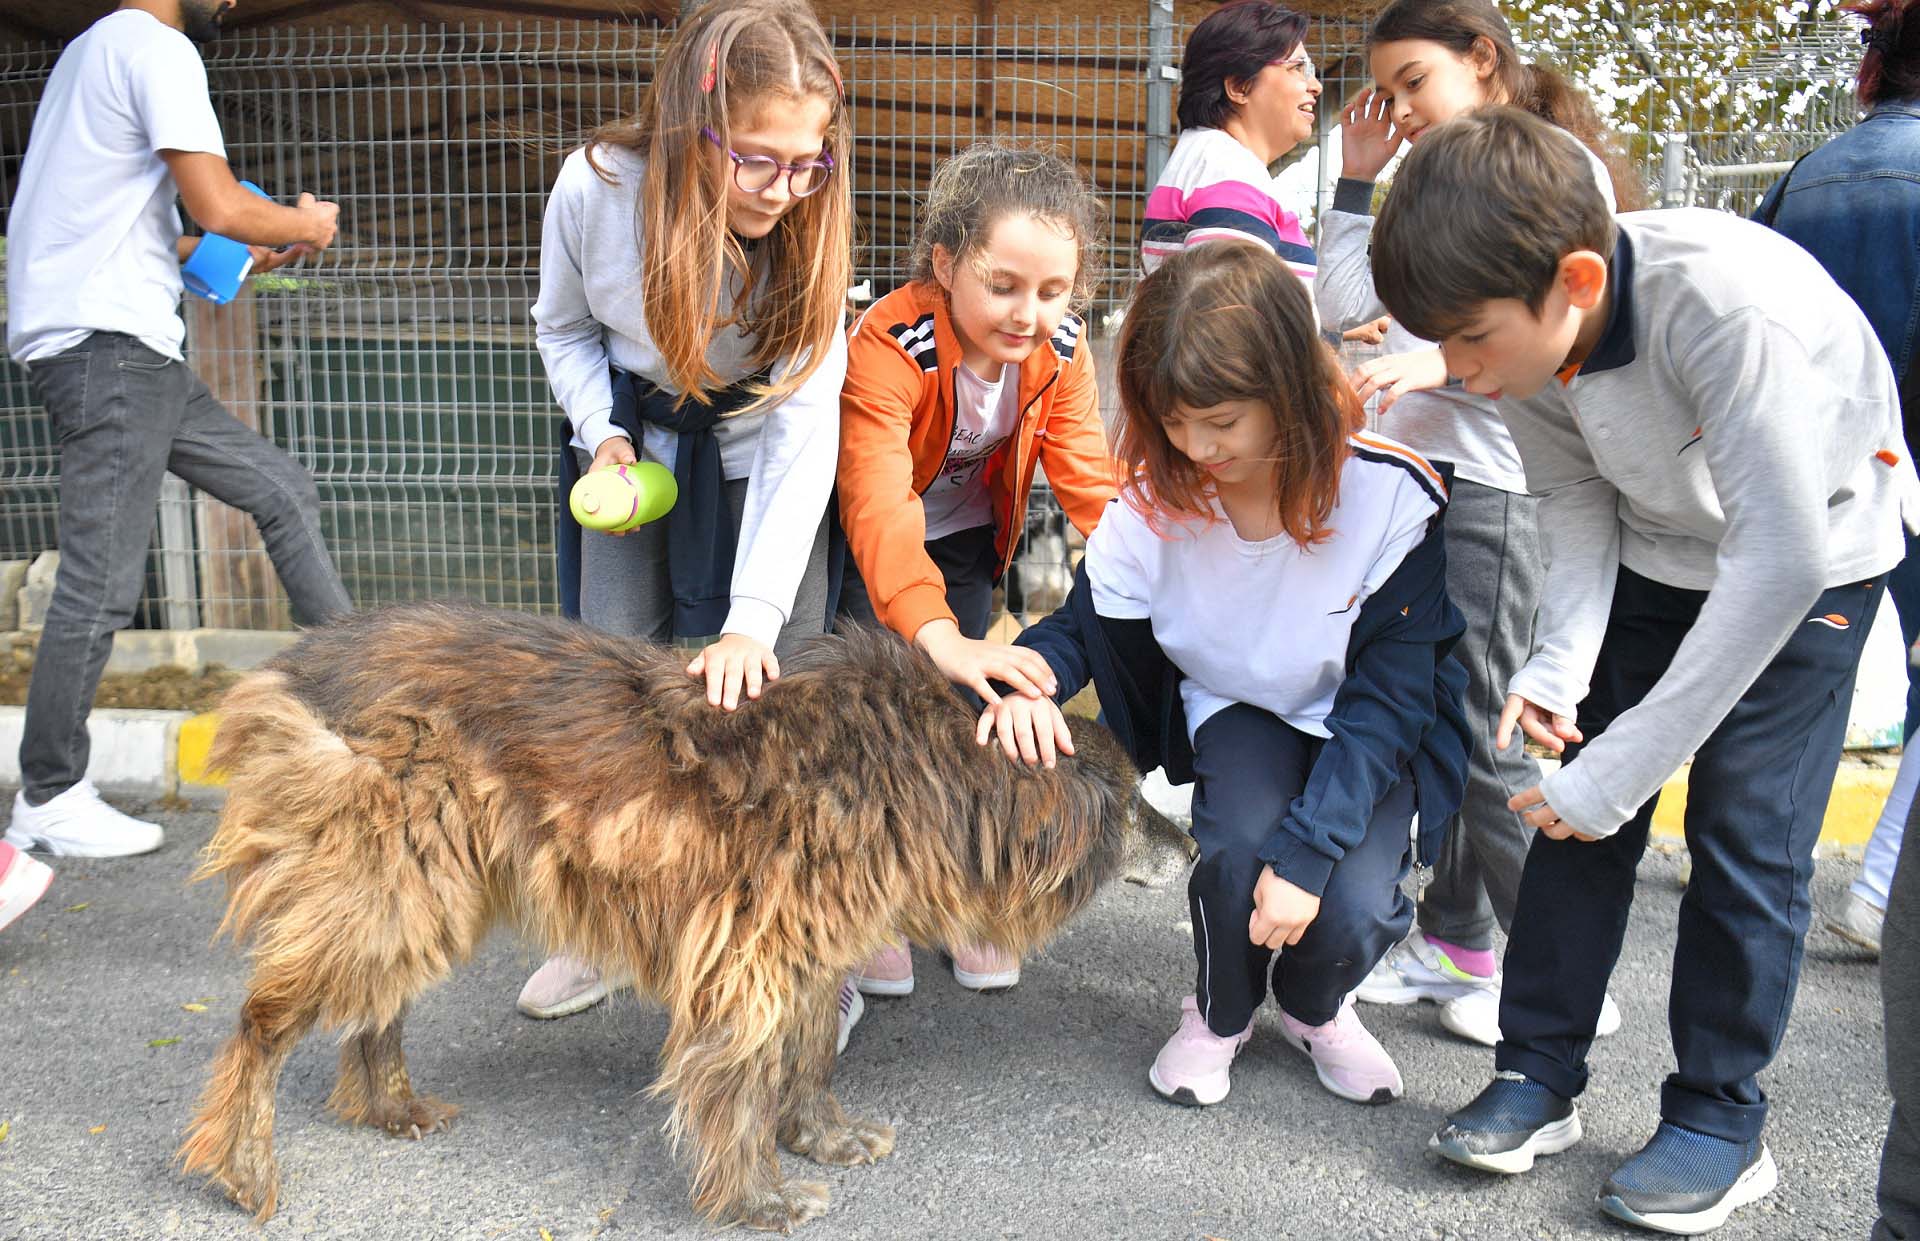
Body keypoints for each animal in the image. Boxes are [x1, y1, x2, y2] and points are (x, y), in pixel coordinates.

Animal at [176, 603, 1136, 1237]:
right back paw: (245, 1161)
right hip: (396, 884)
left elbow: (809, 1054)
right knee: (260, 1024)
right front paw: (759, 1196)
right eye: (1129, 799)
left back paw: (391, 1105)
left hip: (424, 891)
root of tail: (301, 662)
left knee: (378, 1007)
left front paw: (821, 1135)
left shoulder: (805, 951)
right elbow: (741, 1082)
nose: (1176, 835)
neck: (915, 756)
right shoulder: (749, 959)